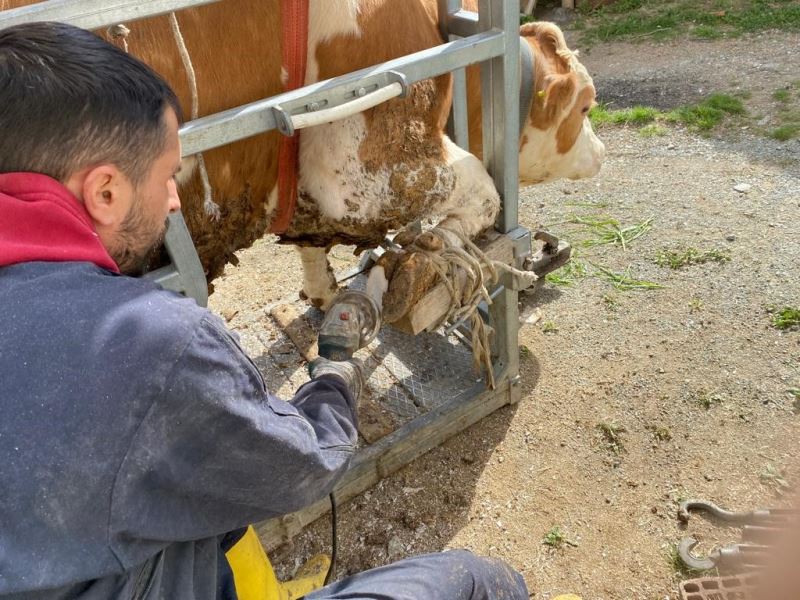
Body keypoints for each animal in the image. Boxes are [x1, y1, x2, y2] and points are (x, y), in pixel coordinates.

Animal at [0, 0, 604, 316]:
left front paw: (323, 291)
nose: (602, 152)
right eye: (587, 104)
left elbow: (312, 243)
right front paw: (443, 247)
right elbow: (483, 189)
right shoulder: (362, 165)